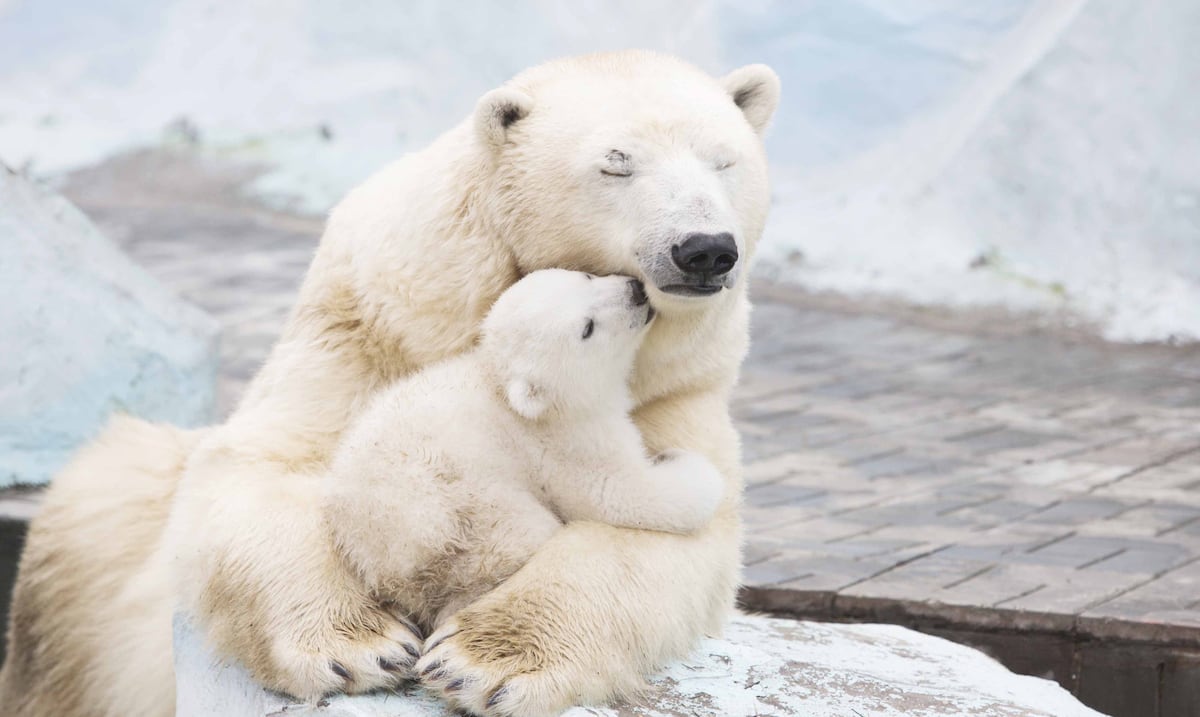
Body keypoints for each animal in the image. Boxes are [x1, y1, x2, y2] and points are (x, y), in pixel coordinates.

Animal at [325, 269, 725, 665]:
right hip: (468, 517)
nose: (637, 291)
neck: (503, 386)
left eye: (586, 276)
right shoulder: (565, 441)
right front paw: (684, 463)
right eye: (587, 328)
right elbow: (619, 493)